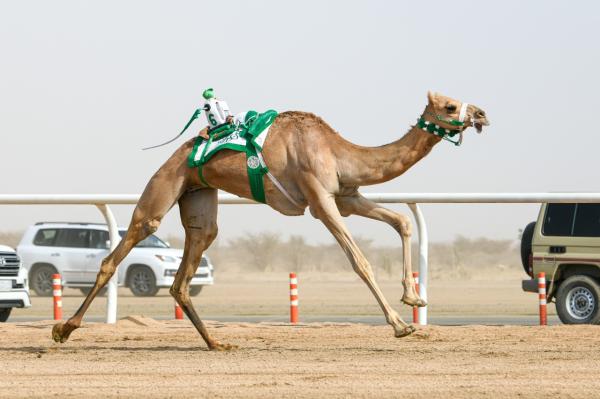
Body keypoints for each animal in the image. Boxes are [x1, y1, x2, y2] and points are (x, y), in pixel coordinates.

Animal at [54, 91, 490, 350]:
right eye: (451, 106)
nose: (483, 113)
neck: (338, 151)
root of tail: (179, 153)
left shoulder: (346, 196)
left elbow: (402, 221)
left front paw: (414, 298)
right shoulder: (321, 200)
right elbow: (359, 261)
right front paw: (401, 325)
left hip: (198, 196)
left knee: (186, 270)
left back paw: (216, 343)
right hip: (163, 188)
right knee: (125, 246)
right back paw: (63, 329)